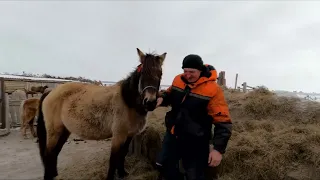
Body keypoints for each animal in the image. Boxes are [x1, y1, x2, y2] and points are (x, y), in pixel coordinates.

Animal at [37, 48, 168, 180]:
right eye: (143, 73)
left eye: (160, 74)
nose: (150, 102)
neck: (127, 100)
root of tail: (50, 91)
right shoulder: (118, 136)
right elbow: (113, 159)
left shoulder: (129, 135)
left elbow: (123, 154)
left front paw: (122, 173)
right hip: (54, 131)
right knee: (49, 154)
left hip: (64, 130)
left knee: (55, 153)